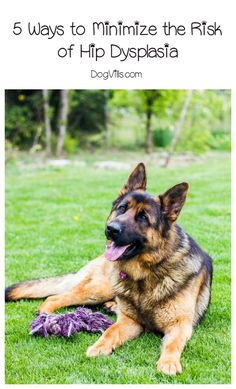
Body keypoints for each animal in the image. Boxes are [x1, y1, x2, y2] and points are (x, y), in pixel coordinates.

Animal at [5, 163, 212, 372]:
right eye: (122, 208)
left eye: (143, 217)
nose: (111, 229)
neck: (146, 273)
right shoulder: (130, 321)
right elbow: (111, 331)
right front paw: (99, 346)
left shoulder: (180, 325)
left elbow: (173, 344)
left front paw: (168, 362)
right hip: (100, 288)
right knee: (55, 297)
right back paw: (46, 315)